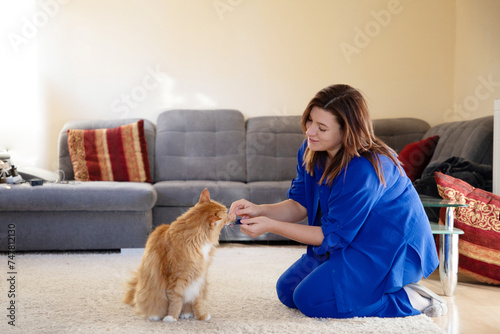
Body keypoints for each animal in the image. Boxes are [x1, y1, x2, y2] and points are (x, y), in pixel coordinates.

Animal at [124, 188, 228, 320]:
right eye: (226, 213)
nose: (230, 215)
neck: (195, 240)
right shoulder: (176, 278)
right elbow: (176, 301)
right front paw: (172, 317)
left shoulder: (199, 278)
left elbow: (197, 301)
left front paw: (201, 316)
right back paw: (155, 316)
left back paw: (186, 314)